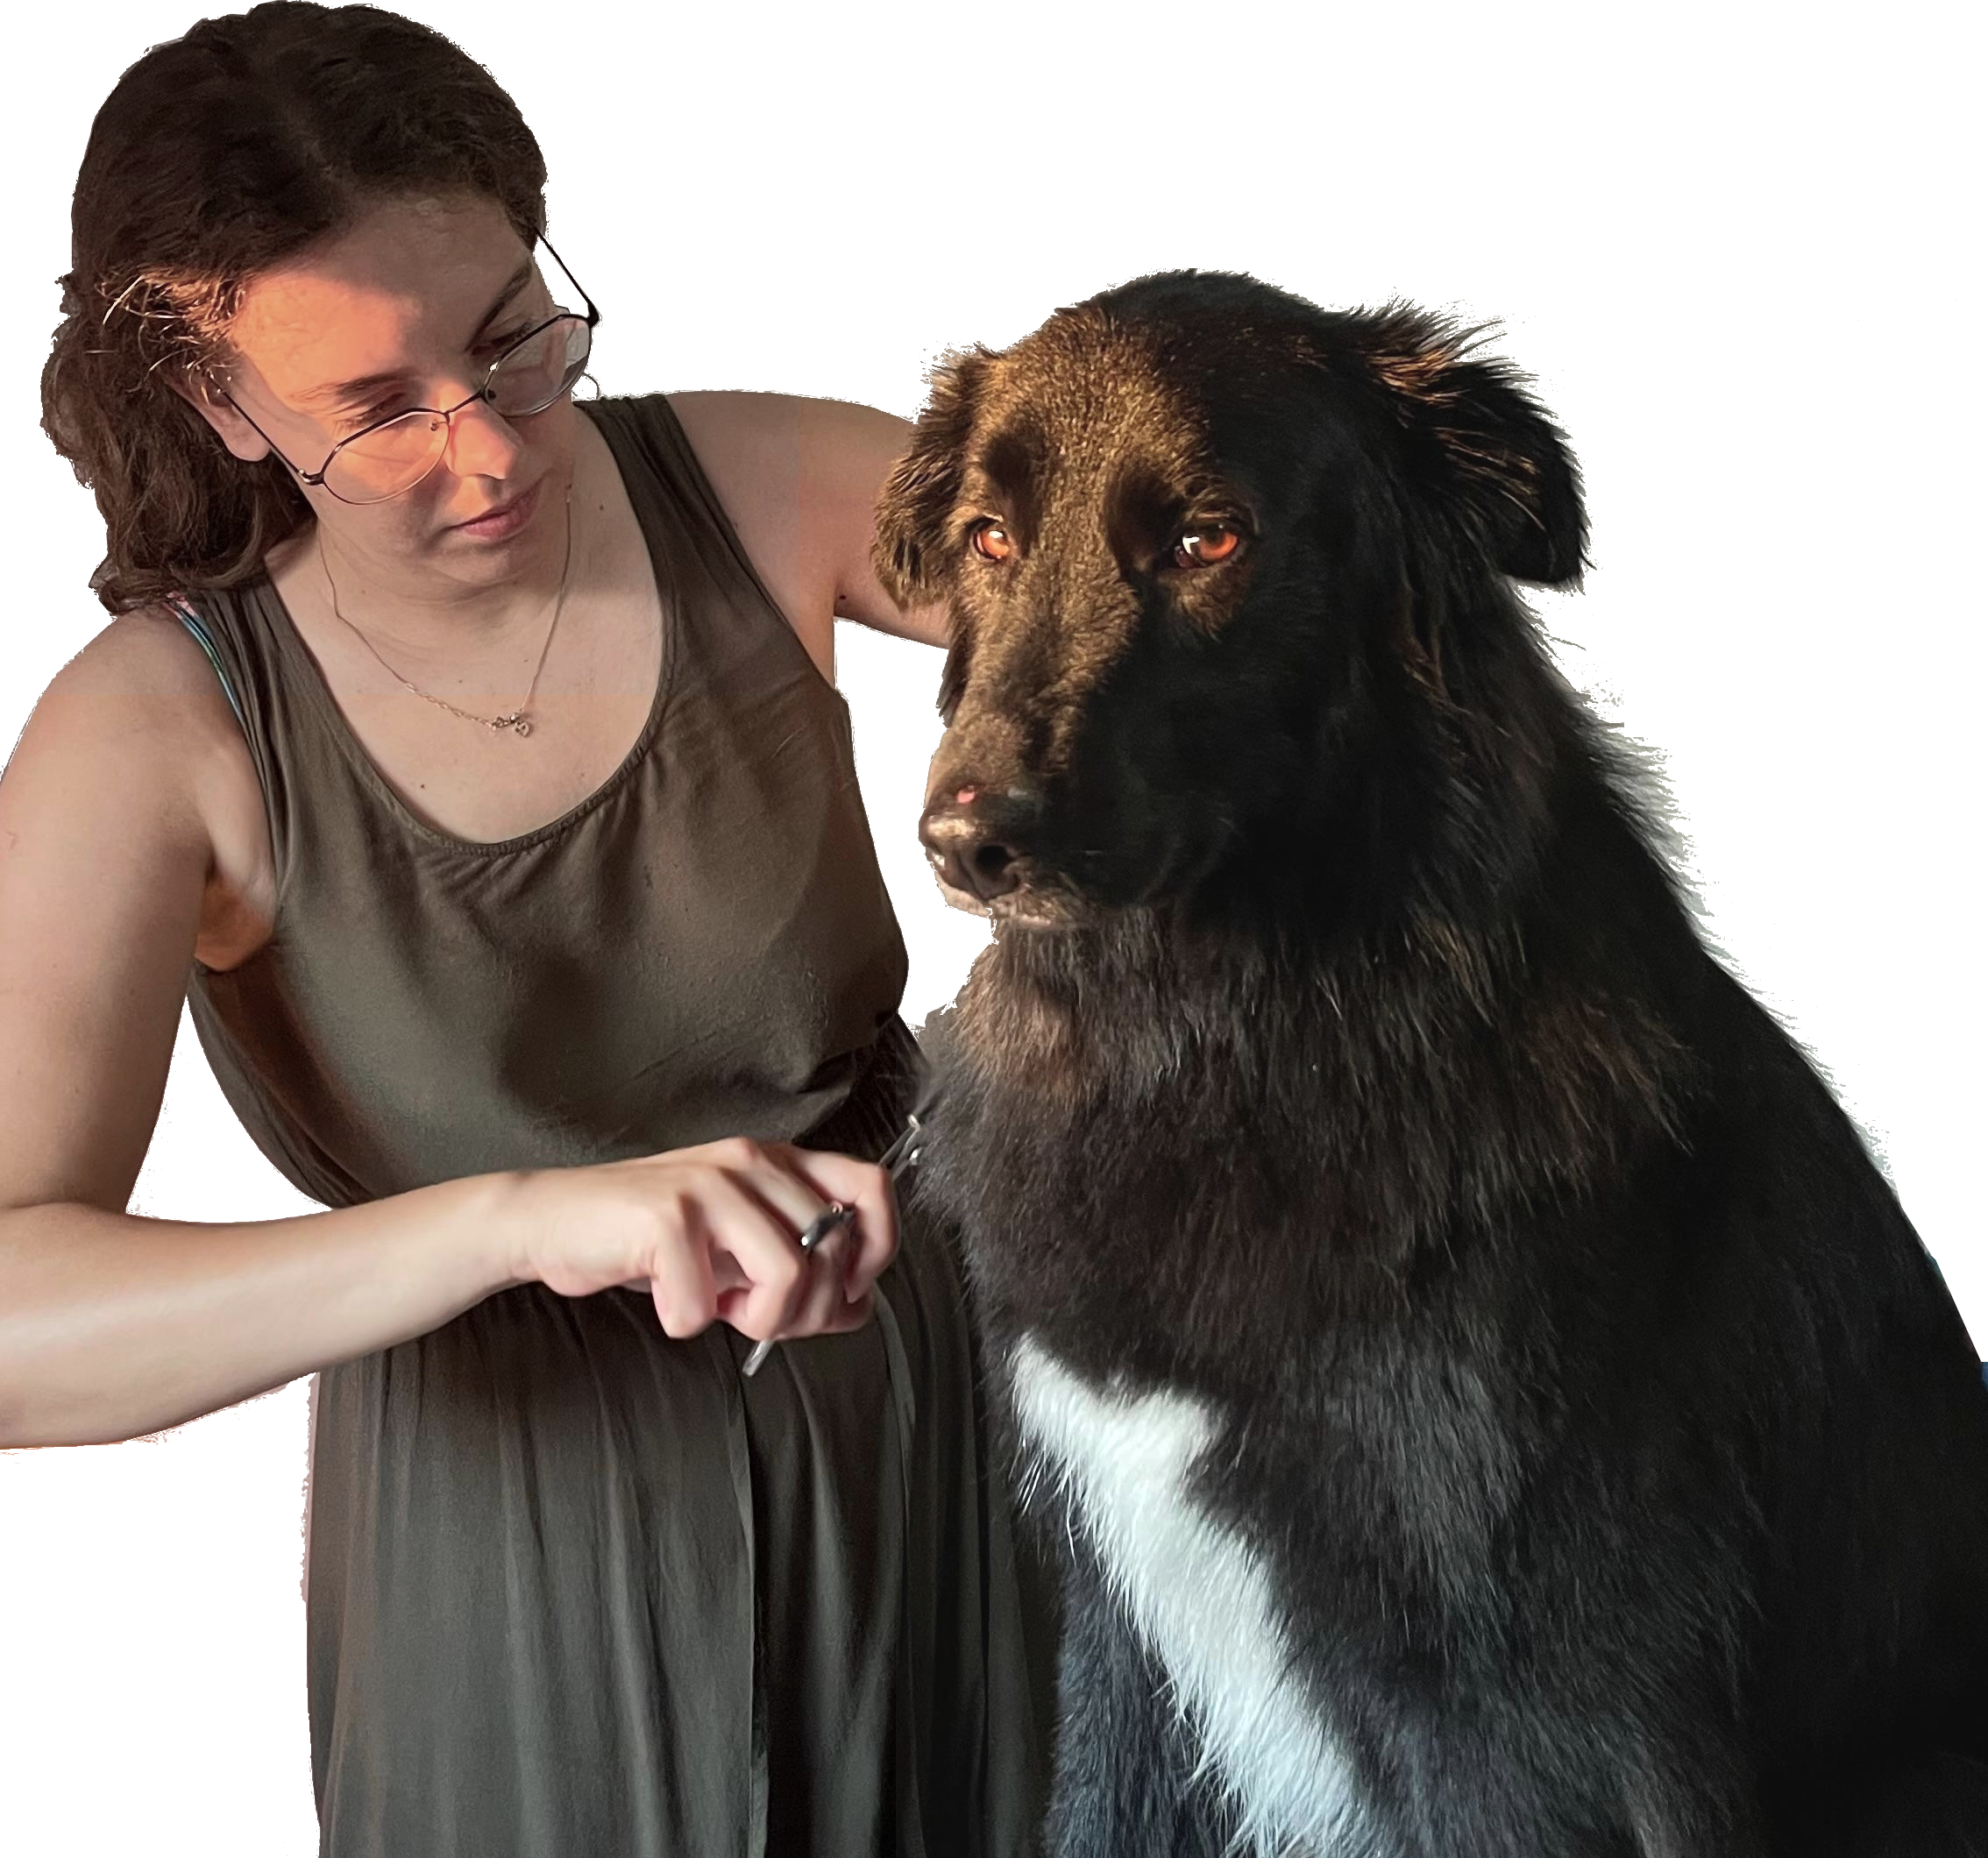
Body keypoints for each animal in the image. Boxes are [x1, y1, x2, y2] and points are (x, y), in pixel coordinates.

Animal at [872, 273, 1988, 1857]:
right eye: (988, 536)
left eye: (1209, 539)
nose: (966, 839)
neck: (1224, 1033)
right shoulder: (1122, 1626)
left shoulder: (1523, 1695)